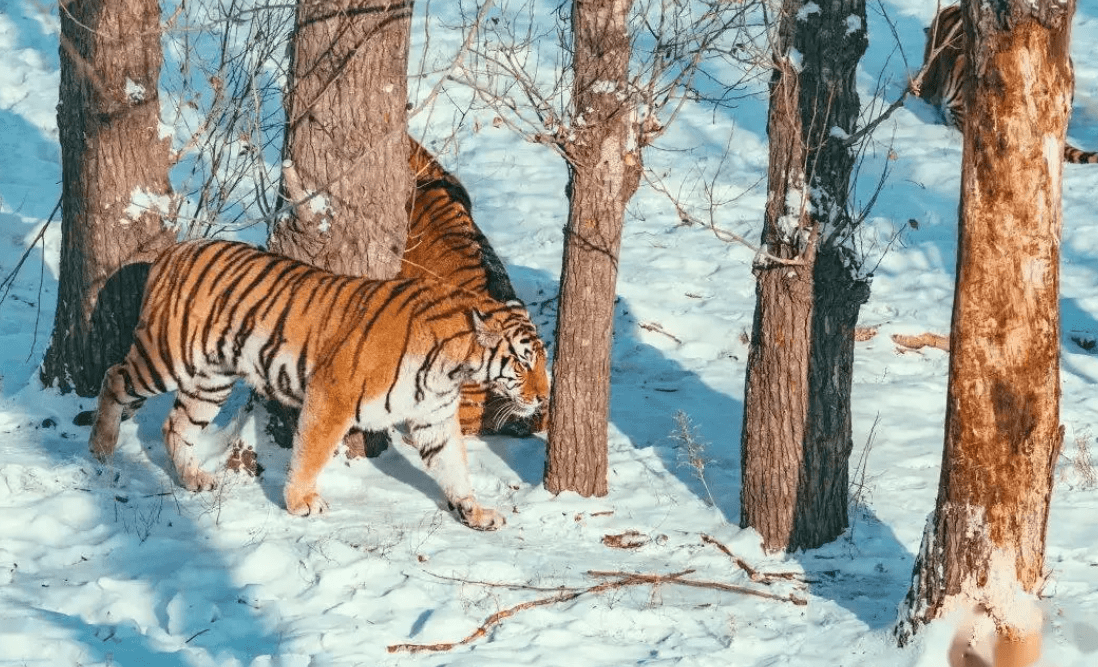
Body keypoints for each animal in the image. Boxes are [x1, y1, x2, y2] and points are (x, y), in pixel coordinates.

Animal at [88, 239, 548, 530]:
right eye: (524, 362)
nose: (544, 398)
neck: (454, 367)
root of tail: (173, 250)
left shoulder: (432, 417)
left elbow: (454, 466)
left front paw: (474, 513)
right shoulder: (332, 396)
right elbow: (311, 454)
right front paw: (301, 503)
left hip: (211, 379)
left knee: (176, 425)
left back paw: (193, 478)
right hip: (168, 357)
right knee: (114, 376)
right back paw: (101, 446)